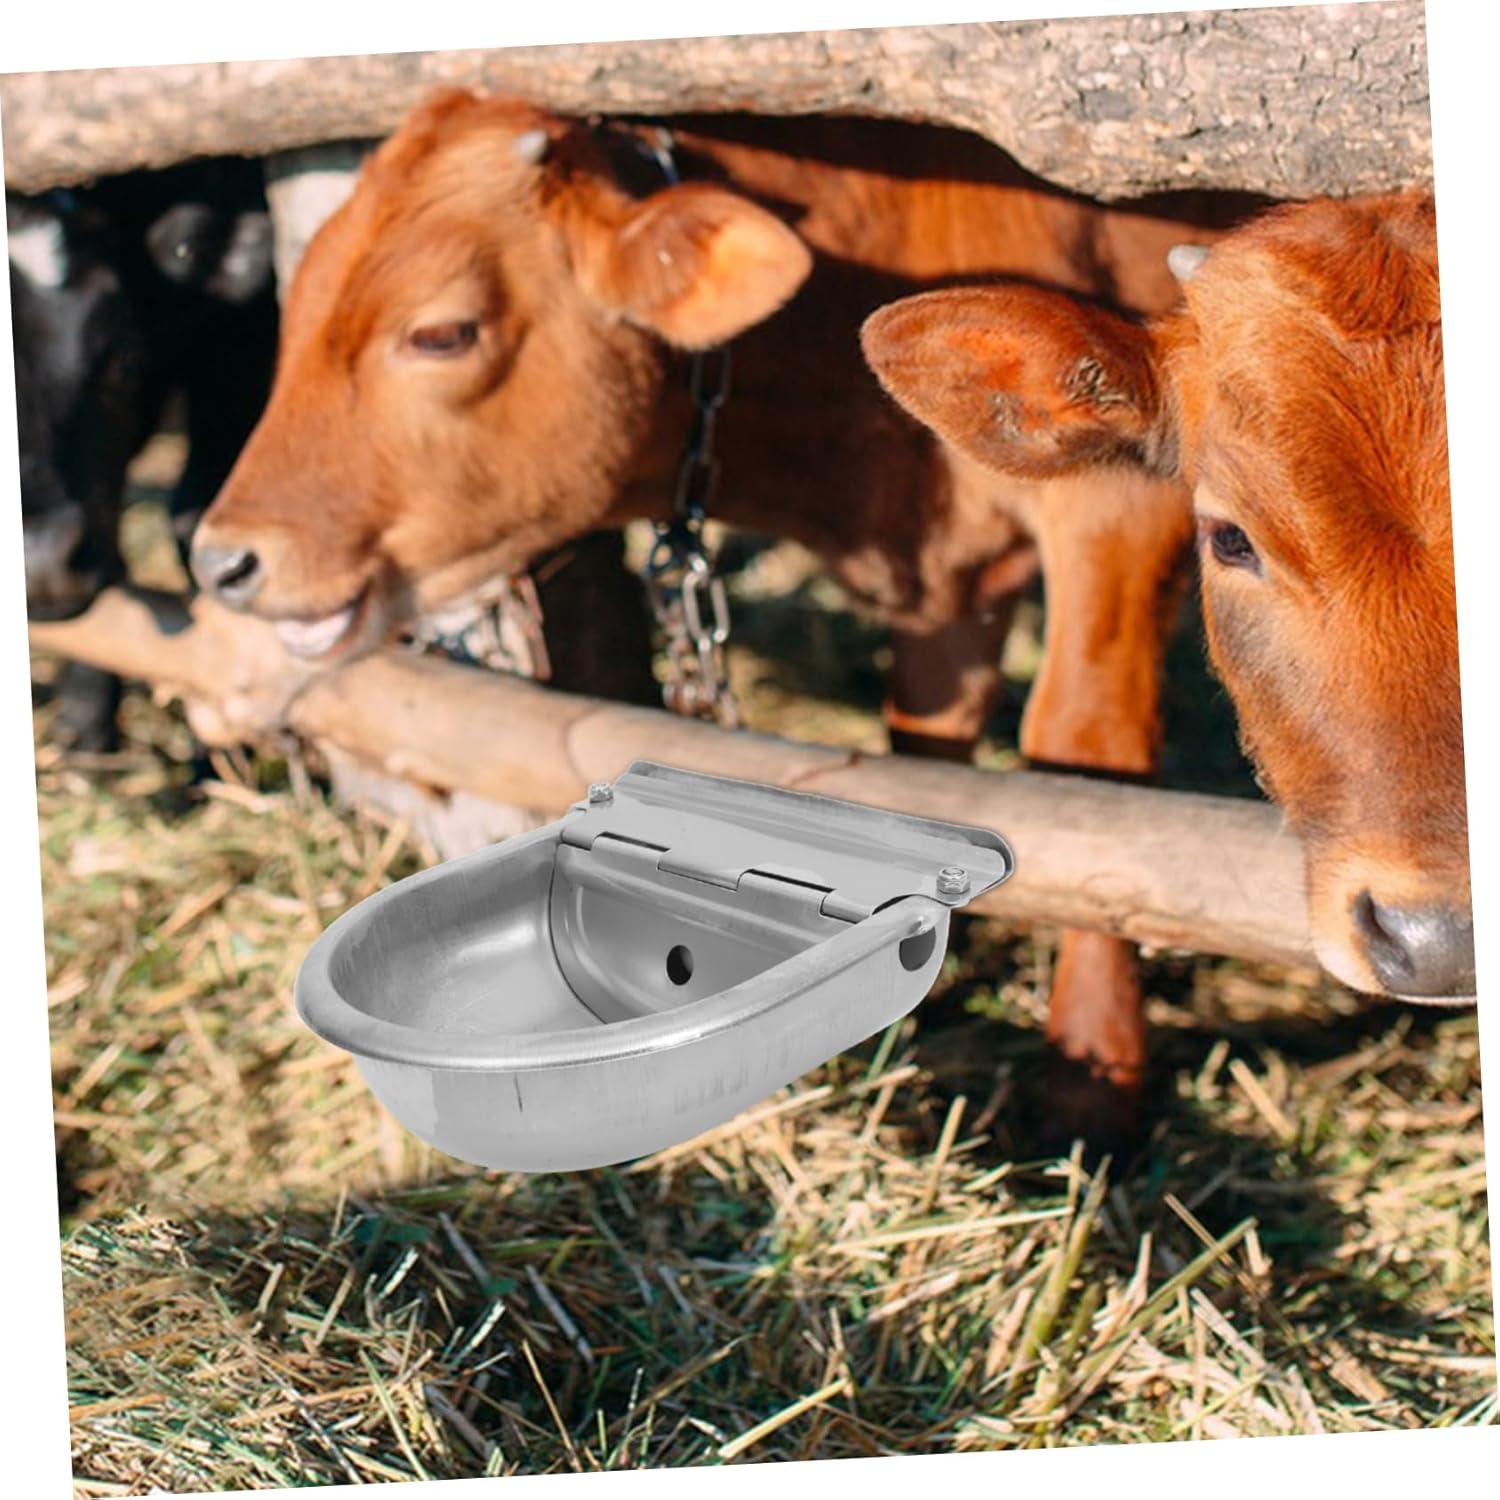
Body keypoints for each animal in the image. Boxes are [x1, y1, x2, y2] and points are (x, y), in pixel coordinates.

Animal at [188, 91, 1270, 1143]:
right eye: (294, 305)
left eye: (440, 333)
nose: (222, 559)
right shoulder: (948, 590)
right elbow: (928, 745)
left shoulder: (1121, 506)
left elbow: (1085, 747)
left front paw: (1089, 1080)